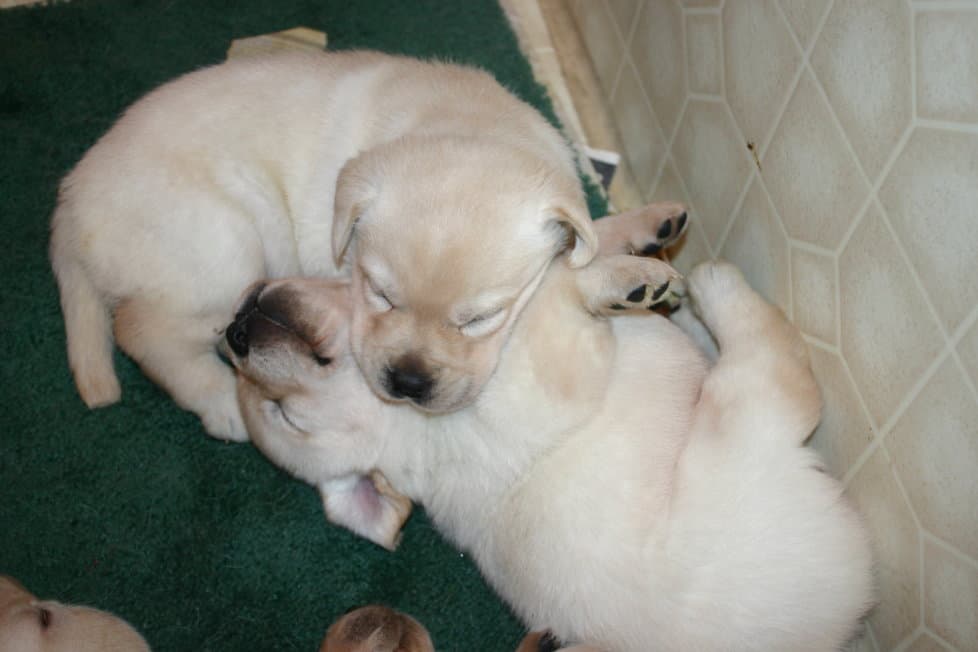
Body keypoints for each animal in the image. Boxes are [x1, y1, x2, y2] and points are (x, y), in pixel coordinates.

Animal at [51, 48, 596, 440]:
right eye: (380, 294)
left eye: (481, 318)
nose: (408, 383)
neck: (467, 121)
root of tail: (70, 202)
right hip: (223, 245)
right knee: (142, 331)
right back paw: (223, 402)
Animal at [227, 204, 688, 552]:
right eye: (285, 415)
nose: (235, 334)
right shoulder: (562, 366)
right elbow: (565, 285)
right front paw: (637, 281)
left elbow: (563, 254)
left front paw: (649, 225)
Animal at [231, 252, 876, 648]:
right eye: (286, 415)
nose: (234, 333)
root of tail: (844, 623)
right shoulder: (554, 369)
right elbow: (552, 295)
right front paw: (623, 281)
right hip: (745, 430)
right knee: (776, 367)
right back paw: (716, 284)